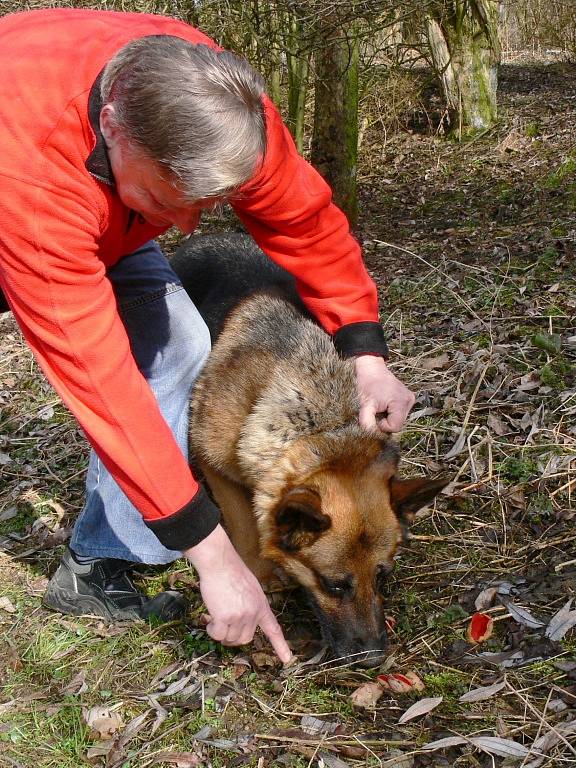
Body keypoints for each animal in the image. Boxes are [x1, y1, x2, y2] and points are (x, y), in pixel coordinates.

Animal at [172, 234, 450, 664]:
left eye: (383, 576)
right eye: (334, 585)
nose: (373, 658)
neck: (317, 424)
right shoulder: (217, 466)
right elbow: (246, 530)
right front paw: (260, 578)